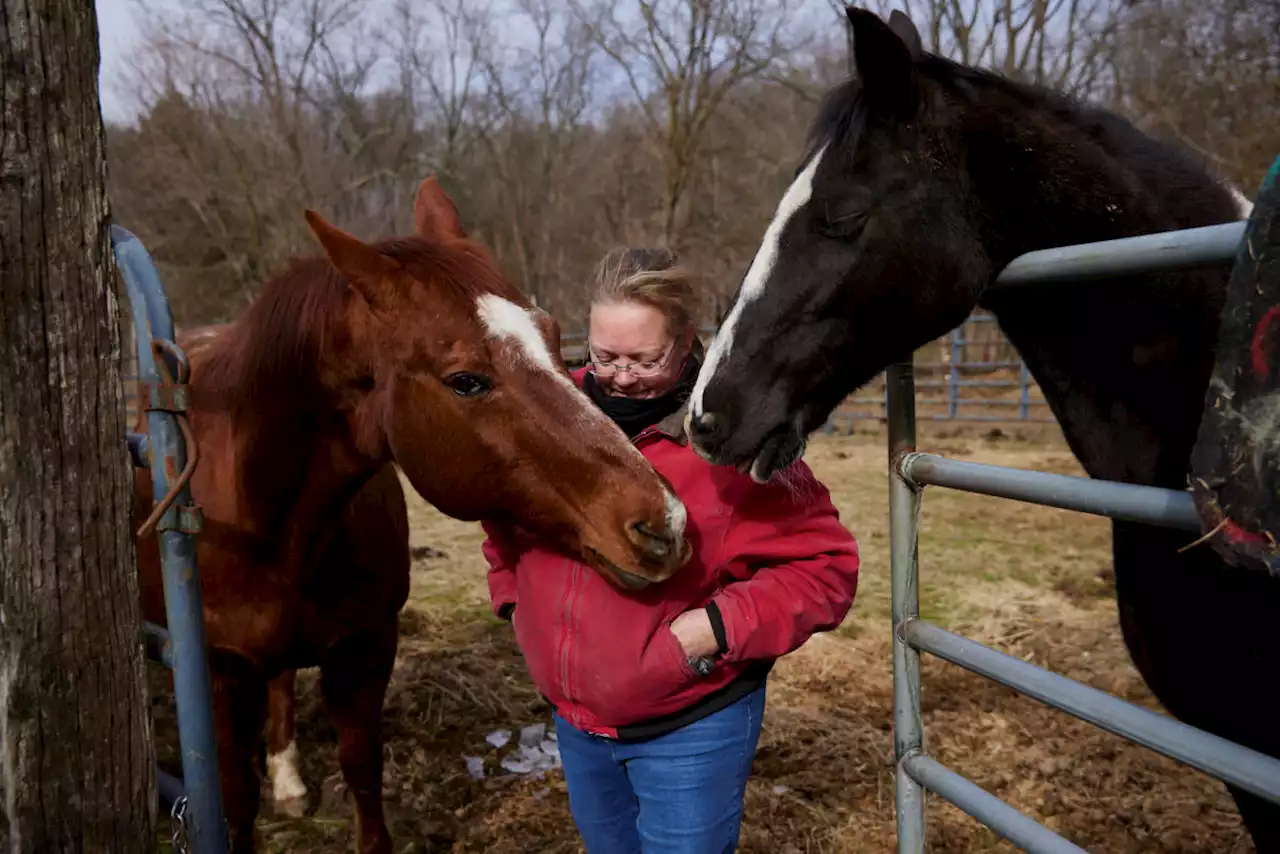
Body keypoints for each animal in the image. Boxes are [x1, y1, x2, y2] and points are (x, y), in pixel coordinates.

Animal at [132, 176, 691, 850]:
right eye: (466, 380)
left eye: (556, 336)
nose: (664, 523)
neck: (261, 516)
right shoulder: (219, 675)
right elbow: (235, 800)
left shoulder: (368, 649)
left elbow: (361, 770)